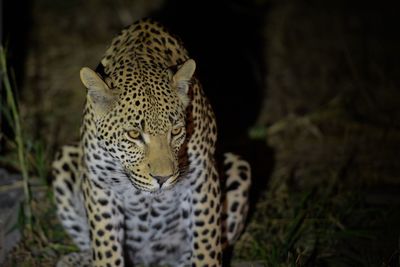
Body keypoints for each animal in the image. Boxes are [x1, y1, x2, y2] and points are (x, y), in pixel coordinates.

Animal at [50, 18, 250, 267]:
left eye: (176, 131)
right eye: (134, 134)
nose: (163, 179)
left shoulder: (203, 178)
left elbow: (207, 244)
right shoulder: (100, 185)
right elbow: (105, 248)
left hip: (238, 166)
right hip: (64, 160)